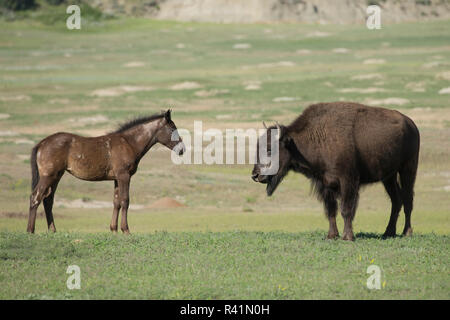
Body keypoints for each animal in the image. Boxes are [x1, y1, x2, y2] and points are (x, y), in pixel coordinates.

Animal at [251, 102, 420, 240]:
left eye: (269, 149)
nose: (255, 175)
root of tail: (411, 124)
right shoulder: (325, 184)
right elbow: (331, 210)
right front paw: (331, 235)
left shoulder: (348, 181)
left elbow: (346, 209)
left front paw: (347, 236)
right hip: (388, 177)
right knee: (396, 200)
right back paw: (388, 232)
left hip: (408, 169)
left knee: (407, 199)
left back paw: (407, 232)